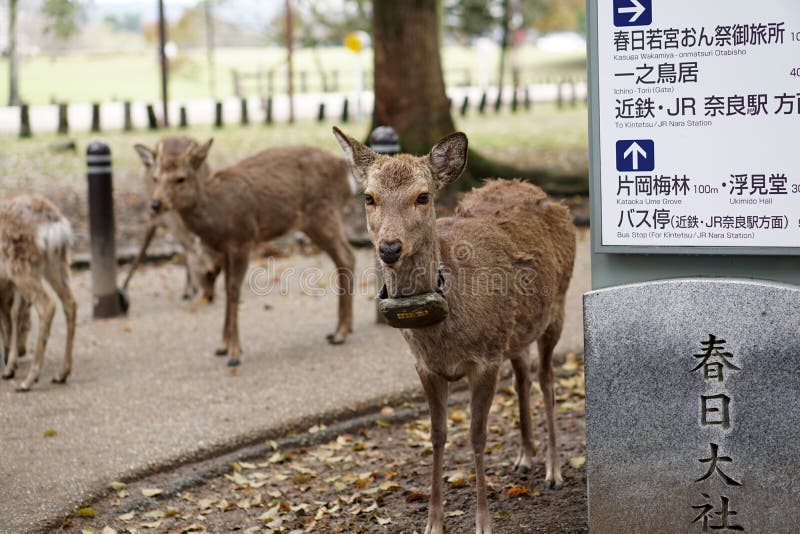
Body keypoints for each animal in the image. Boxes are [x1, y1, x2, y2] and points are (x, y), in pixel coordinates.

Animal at [149, 140, 354, 370]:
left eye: (180, 178)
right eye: (154, 177)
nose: (155, 204)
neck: (216, 217)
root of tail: (344, 173)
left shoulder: (242, 240)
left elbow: (234, 290)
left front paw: (234, 353)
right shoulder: (226, 249)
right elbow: (227, 288)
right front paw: (223, 345)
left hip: (323, 213)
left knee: (346, 256)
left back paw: (340, 333)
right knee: (344, 258)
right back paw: (342, 329)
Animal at [332, 127, 576, 532]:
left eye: (423, 196)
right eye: (369, 197)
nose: (389, 248)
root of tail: (538, 191)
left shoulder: (486, 359)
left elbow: (477, 436)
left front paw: (483, 522)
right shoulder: (425, 367)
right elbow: (437, 436)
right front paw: (433, 522)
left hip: (557, 308)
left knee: (546, 378)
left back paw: (553, 470)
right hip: (515, 331)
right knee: (523, 375)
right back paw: (524, 456)